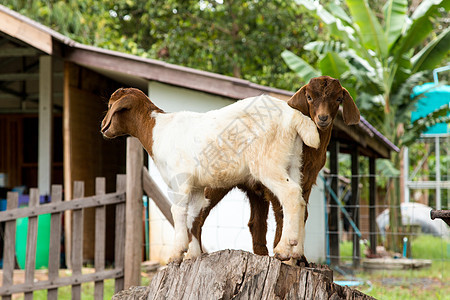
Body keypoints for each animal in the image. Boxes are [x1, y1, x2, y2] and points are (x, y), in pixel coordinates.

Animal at [100, 89, 322, 262]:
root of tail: (293, 116)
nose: (103, 127)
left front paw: (176, 255)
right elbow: (194, 216)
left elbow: (178, 212)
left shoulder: (180, 180)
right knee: (300, 199)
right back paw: (296, 252)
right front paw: (193, 255)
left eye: (111, 105)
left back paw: (284, 250)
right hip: (293, 161)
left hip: (268, 162)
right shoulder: (197, 187)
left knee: (290, 195)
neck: (157, 131)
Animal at [192, 75, 360, 262]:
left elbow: (304, 213)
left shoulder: (307, 181)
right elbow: (281, 212)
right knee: (199, 214)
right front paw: (284, 254)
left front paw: (300, 258)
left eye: (338, 99)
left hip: (254, 188)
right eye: (309, 97)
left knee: (255, 222)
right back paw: (194, 253)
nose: (323, 118)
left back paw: (262, 253)